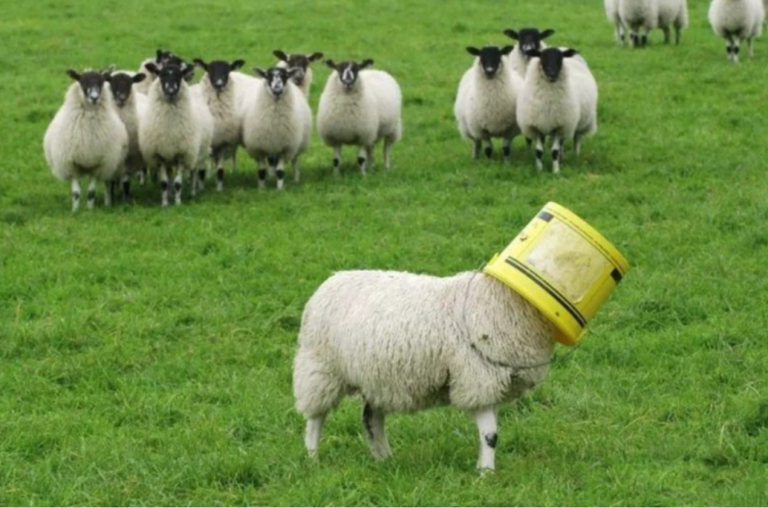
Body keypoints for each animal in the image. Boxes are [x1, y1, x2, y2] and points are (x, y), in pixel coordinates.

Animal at [43, 69, 128, 212]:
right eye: (82, 81)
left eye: (101, 82)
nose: (94, 97)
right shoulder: (72, 164)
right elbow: (76, 193)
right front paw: (75, 211)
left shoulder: (97, 164)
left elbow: (91, 193)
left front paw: (89, 211)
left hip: (110, 164)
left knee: (107, 183)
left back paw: (108, 203)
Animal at [138, 62, 211, 206]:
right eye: (160, 74)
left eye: (180, 75)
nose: (171, 91)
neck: (169, 127)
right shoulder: (160, 154)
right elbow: (164, 183)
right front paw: (165, 203)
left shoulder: (181, 154)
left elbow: (178, 183)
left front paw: (177, 203)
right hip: (169, 156)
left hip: (196, 153)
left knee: (194, 172)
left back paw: (192, 192)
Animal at [192, 58, 246, 191]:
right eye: (210, 69)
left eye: (227, 71)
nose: (219, 84)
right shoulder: (206, 144)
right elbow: (201, 171)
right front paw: (201, 188)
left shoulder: (223, 143)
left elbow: (220, 171)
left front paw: (219, 189)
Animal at [293, 269, 556, 471]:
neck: (505, 299)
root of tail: (331, 279)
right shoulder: (477, 378)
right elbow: (490, 435)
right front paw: (487, 474)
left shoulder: (487, 384)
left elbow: (488, 433)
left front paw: (482, 468)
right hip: (321, 370)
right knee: (316, 419)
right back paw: (313, 458)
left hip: (377, 378)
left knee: (371, 419)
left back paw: (385, 460)